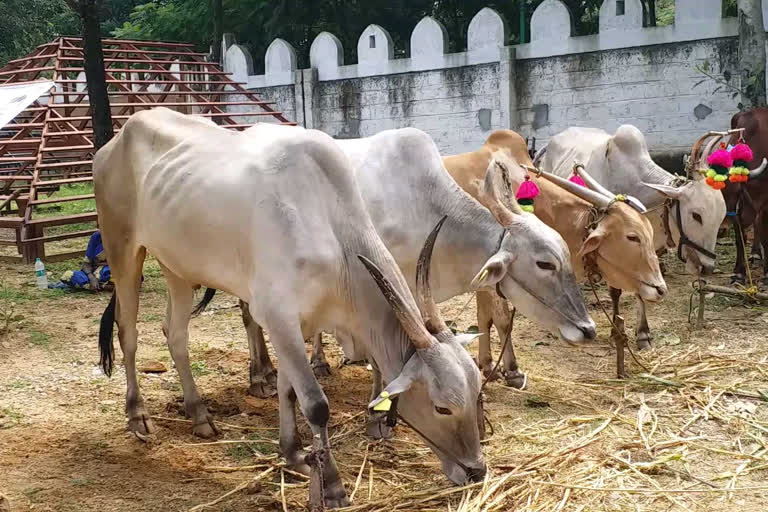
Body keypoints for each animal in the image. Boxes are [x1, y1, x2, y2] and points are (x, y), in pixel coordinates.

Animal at [93, 107, 484, 504]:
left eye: (477, 391)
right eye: (441, 406)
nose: (476, 471)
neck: (332, 231)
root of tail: (116, 139)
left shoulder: (299, 323)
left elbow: (289, 389)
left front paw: (293, 453)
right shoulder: (278, 317)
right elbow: (315, 403)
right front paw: (332, 485)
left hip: (177, 266)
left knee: (174, 334)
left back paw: (200, 415)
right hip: (123, 250)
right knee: (128, 333)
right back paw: (138, 416)